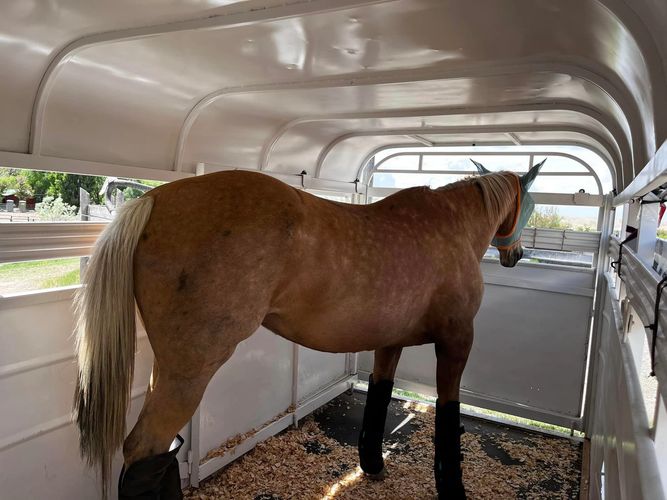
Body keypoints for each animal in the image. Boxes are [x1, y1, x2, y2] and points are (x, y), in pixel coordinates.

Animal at [73, 159, 544, 499]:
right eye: (533, 204)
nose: (517, 255)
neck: (452, 226)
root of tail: (154, 199)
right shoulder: (456, 342)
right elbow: (449, 417)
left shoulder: (388, 343)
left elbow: (379, 395)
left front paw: (373, 465)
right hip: (189, 370)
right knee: (144, 446)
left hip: (167, 367)